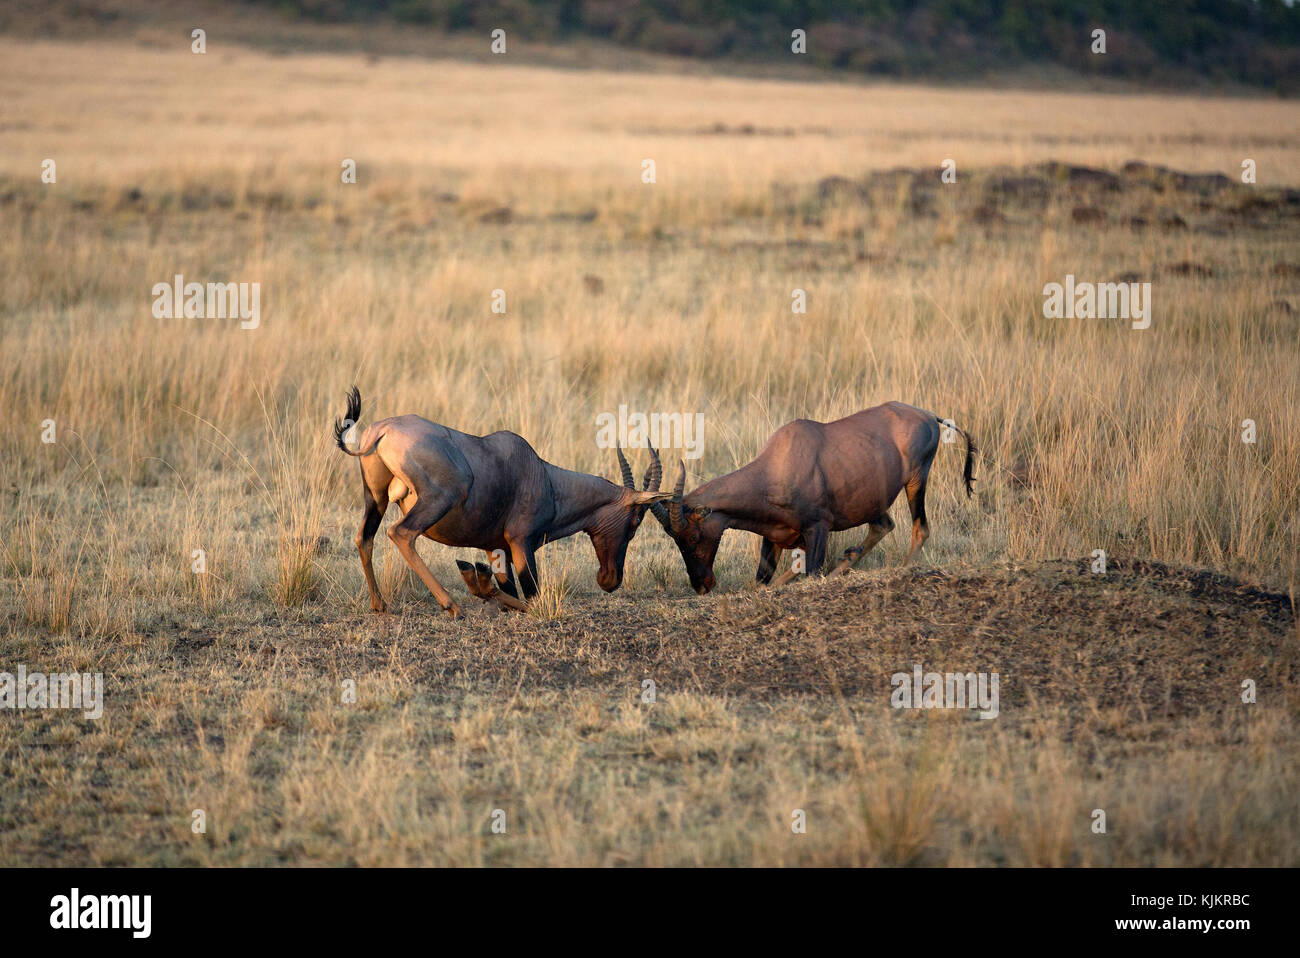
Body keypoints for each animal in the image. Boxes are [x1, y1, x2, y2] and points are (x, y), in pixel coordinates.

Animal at [332, 389, 670, 621]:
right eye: (635, 521)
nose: (610, 580)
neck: (542, 475)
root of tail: (381, 431)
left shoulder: (495, 547)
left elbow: (508, 591)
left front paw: (478, 579)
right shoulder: (521, 543)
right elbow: (533, 598)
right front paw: (477, 582)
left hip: (375, 498)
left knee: (365, 537)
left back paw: (380, 604)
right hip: (438, 499)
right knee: (401, 533)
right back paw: (452, 606)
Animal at [650, 400, 977, 595]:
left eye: (693, 536)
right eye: (675, 539)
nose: (702, 585)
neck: (779, 462)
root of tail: (929, 416)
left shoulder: (818, 528)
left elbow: (810, 573)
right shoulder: (774, 536)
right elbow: (763, 582)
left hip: (916, 480)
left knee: (920, 529)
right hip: (872, 500)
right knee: (883, 525)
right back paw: (850, 558)